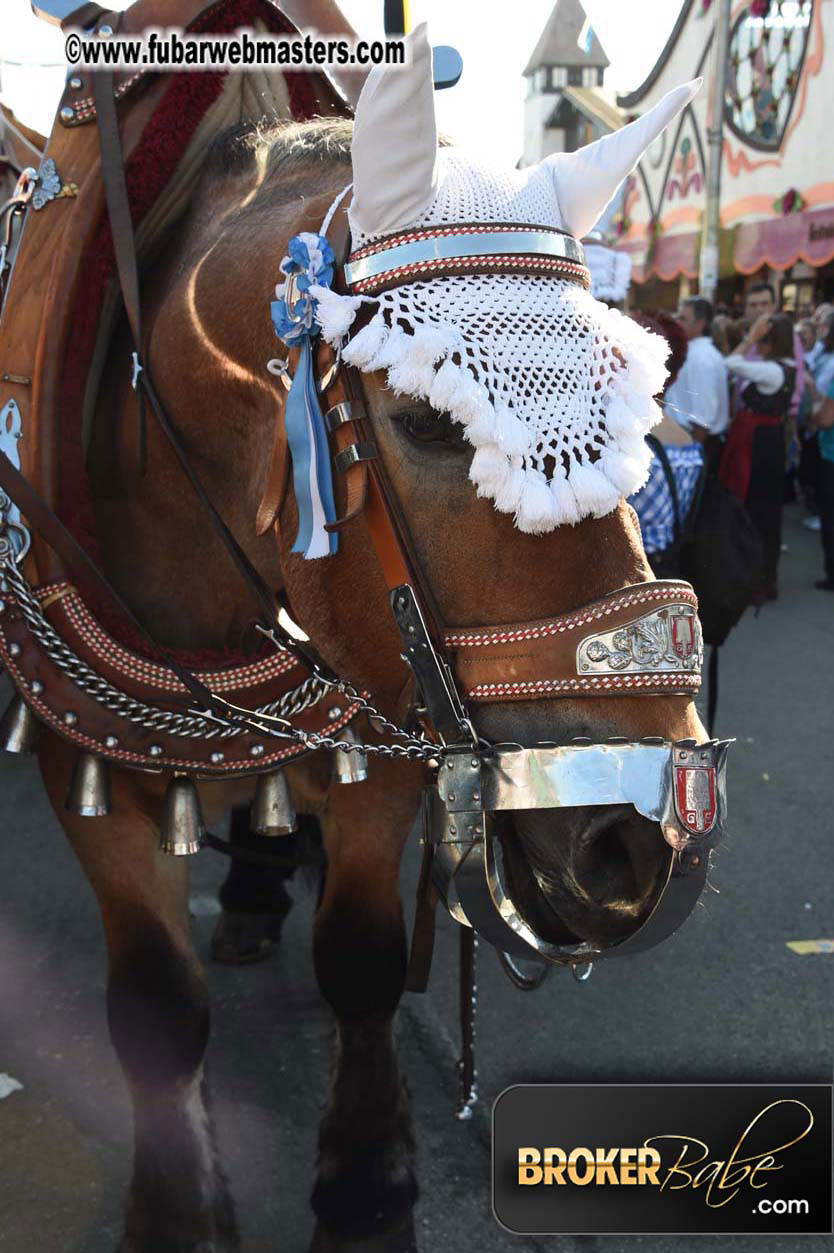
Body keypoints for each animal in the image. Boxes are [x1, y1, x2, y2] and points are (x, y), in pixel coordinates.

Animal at [24, 107, 706, 1253]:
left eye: (636, 412)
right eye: (428, 420)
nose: (635, 835)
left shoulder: (383, 736)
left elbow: (361, 959)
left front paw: (366, 1191)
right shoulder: (87, 766)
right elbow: (158, 1004)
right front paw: (180, 1212)